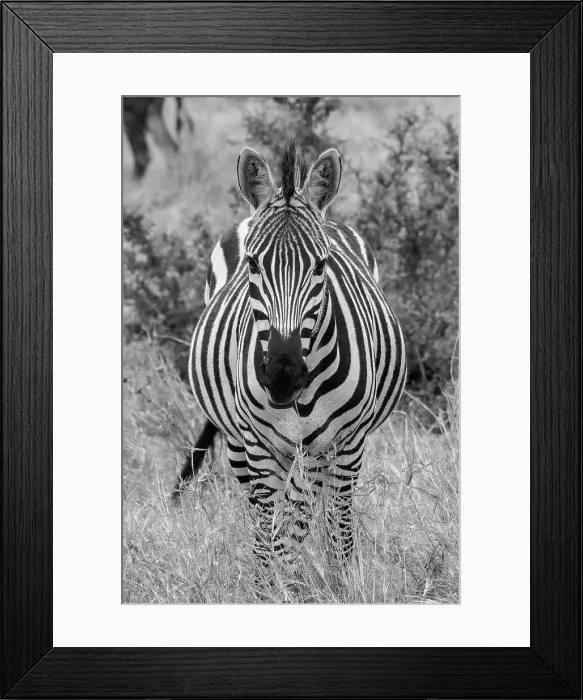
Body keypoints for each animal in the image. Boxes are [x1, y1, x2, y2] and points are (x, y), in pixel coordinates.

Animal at [174, 139, 406, 567]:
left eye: (321, 265)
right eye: (252, 263)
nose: (283, 373)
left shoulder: (344, 442)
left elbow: (330, 529)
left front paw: (334, 577)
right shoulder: (259, 445)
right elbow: (268, 535)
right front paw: (275, 579)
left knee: (318, 509)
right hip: (239, 443)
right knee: (263, 510)